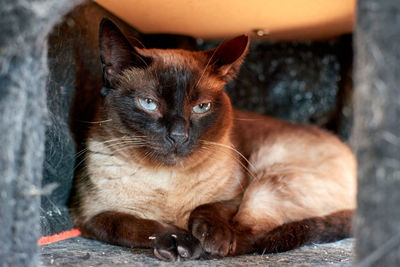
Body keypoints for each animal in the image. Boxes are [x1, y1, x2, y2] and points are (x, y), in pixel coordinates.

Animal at [69, 18, 356, 262]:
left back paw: (207, 248)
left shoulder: (237, 194)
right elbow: (132, 224)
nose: (178, 136)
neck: (166, 183)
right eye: (148, 103)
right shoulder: (90, 218)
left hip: (266, 177)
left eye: (201, 107)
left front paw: (207, 240)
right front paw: (176, 240)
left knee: (254, 235)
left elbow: (209, 208)